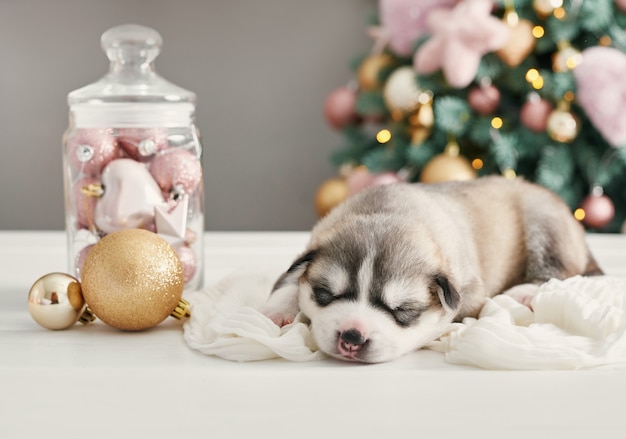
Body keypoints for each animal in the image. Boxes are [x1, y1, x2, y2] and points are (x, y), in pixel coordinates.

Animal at [260, 176, 600, 364]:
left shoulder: (467, 288)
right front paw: (277, 311)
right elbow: (290, 279)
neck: (389, 209)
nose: (352, 337)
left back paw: (525, 292)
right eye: (324, 293)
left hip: (544, 223)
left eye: (404, 310)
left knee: (558, 267)